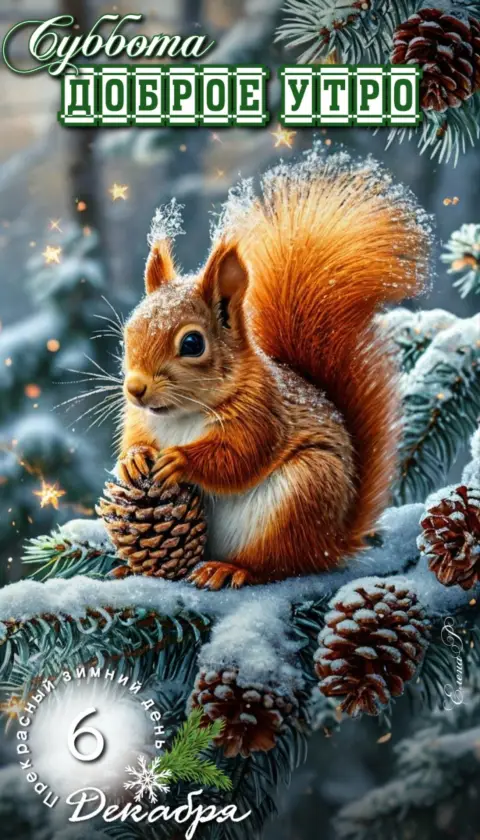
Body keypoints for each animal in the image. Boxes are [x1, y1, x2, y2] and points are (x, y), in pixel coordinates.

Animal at [118, 152, 430, 590]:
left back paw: (228, 568)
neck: (182, 416)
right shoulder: (141, 420)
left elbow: (238, 457)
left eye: (192, 343)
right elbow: (134, 439)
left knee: (277, 564)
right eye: (128, 333)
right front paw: (133, 459)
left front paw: (180, 461)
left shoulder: (263, 414)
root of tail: (333, 541)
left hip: (302, 493)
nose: (135, 388)